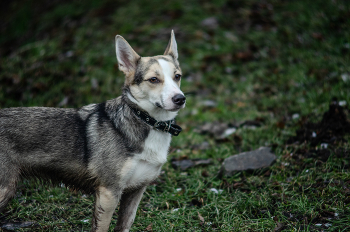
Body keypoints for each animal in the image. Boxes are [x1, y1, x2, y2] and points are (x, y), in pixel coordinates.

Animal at [0, 31, 186, 232]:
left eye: (177, 76)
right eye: (153, 80)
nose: (180, 99)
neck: (146, 121)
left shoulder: (136, 191)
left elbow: (124, 225)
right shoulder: (109, 192)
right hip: (4, 188)